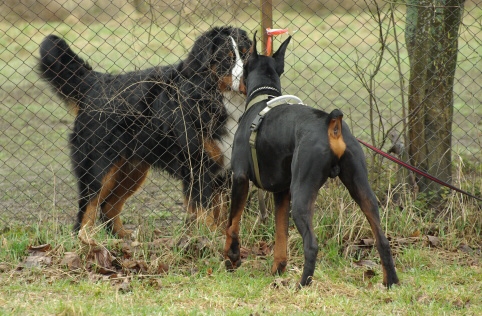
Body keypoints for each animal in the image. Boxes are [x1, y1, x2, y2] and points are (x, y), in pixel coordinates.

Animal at [38, 26, 252, 237]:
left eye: (247, 54)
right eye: (226, 58)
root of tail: (95, 81)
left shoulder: (225, 169)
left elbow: (223, 211)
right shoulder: (198, 166)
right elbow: (205, 209)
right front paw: (208, 236)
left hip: (132, 169)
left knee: (108, 205)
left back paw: (123, 236)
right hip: (99, 166)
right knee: (87, 209)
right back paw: (87, 240)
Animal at [224, 33, 398, 288]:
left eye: (244, 63)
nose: (236, 81)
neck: (263, 99)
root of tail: (331, 124)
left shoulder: (240, 178)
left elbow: (232, 223)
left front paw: (232, 258)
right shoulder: (282, 192)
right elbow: (281, 235)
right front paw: (277, 269)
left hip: (302, 193)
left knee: (312, 244)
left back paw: (303, 284)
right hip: (361, 188)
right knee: (382, 239)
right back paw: (390, 282)